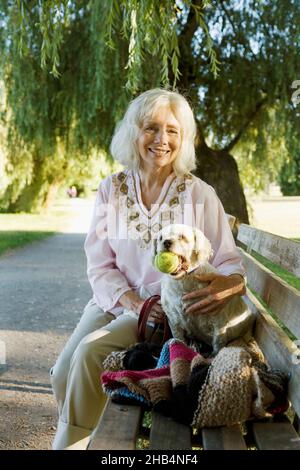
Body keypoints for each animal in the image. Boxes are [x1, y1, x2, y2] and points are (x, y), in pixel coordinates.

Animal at [154, 224, 254, 352]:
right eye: (160, 238)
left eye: (182, 237)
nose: (166, 242)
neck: (183, 281)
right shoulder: (173, 320)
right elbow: (179, 340)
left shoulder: (219, 325)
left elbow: (217, 348)